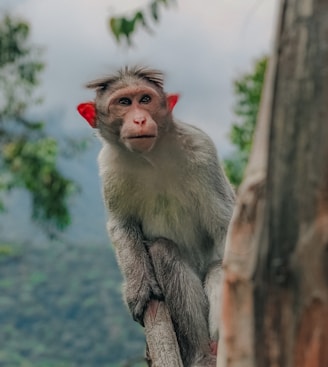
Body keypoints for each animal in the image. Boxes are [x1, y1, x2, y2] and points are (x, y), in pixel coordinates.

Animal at [77, 67, 236, 367]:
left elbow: (225, 223)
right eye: (124, 102)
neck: (152, 156)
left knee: (217, 266)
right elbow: (122, 224)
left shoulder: (202, 149)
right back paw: (200, 353)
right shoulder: (110, 168)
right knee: (163, 250)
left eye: (145, 99)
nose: (140, 119)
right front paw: (139, 289)